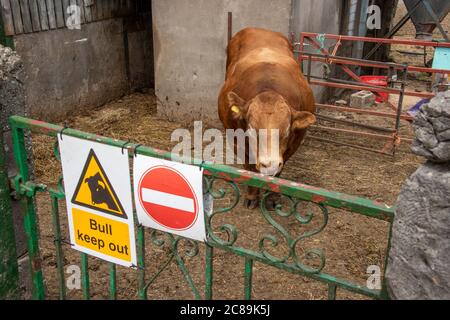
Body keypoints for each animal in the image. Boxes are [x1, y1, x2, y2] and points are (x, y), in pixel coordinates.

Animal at [218, 26, 316, 208]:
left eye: (286, 132)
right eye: (251, 132)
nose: (268, 164)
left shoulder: (293, 144)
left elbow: (279, 170)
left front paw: (271, 198)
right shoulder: (237, 141)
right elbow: (249, 167)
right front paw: (251, 196)